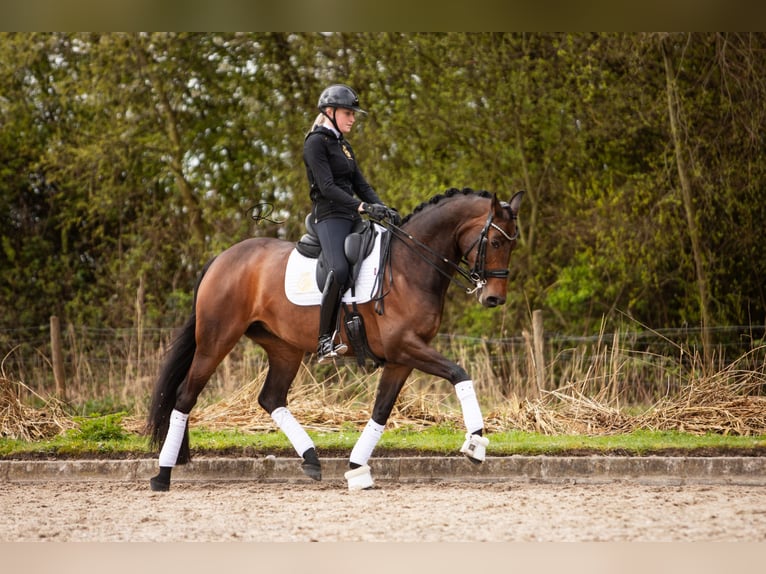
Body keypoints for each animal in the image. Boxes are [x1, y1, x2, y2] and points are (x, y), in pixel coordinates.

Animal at [147, 187, 524, 492]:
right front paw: (475, 444)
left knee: (271, 397)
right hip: (217, 339)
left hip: (284, 347)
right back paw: (162, 475)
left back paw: (312, 459)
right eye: (495, 242)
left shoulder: (402, 357)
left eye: (513, 244)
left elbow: (381, 410)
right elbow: (459, 373)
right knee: (185, 396)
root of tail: (222, 259)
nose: (494, 298)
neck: (408, 266)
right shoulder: (407, 346)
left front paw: (357, 469)